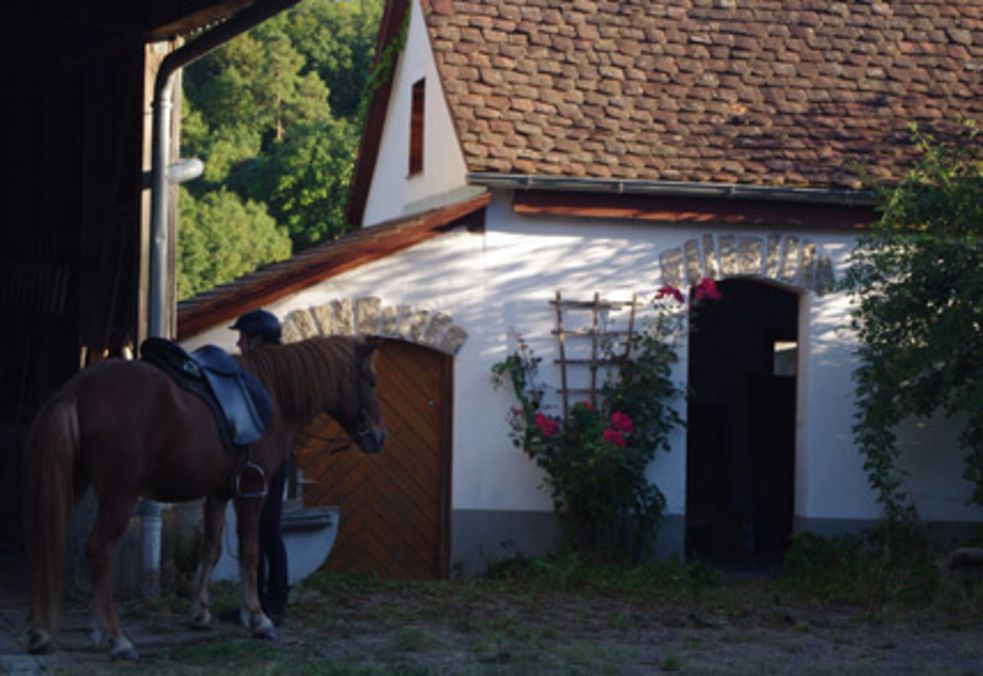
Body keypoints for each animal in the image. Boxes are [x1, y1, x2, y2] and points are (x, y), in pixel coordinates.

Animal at [22, 336, 384, 660]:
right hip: (120, 496)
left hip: (74, 484)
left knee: (47, 540)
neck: (274, 394)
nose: (380, 437)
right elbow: (250, 551)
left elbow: (210, 549)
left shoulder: (218, 494)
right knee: (98, 551)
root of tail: (76, 389)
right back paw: (117, 638)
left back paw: (50, 634)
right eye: (371, 381)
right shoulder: (252, 489)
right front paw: (258, 619)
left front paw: (200, 613)